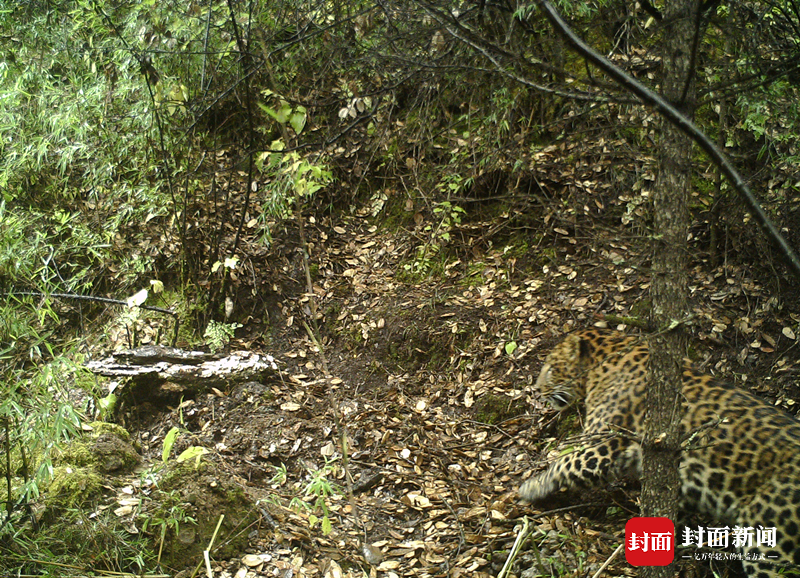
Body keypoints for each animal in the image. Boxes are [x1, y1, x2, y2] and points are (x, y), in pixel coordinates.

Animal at [520, 326, 800, 572]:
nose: (536, 389)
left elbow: (563, 464)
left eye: (551, 368)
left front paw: (529, 488)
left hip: (767, 539)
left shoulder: (602, 445)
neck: (601, 362)